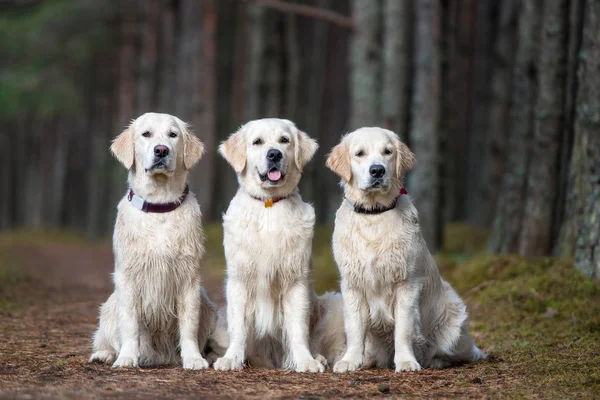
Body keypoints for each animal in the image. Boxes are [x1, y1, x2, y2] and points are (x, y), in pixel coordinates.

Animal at [89, 111, 218, 368]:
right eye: (146, 134)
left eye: (173, 135)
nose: (161, 150)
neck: (160, 205)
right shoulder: (128, 277)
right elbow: (129, 325)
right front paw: (127, 358)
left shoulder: (188, 278)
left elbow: (189, 325)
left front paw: (193, 358)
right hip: (109, 306)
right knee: (106, 338)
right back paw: (104, 355)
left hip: (207, 304)